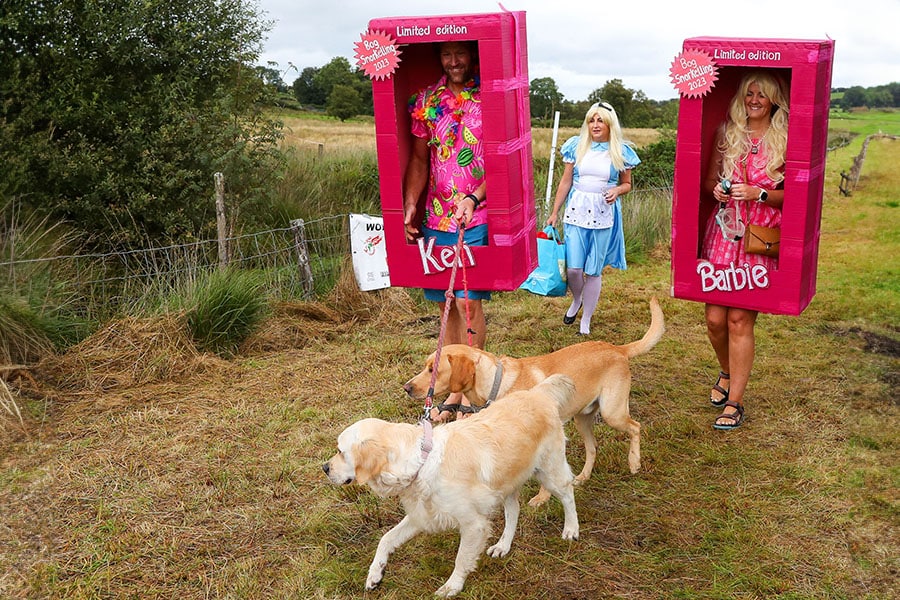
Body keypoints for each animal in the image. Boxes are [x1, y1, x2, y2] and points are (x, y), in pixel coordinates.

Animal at [324, 378, 576, 596]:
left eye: (340, 451)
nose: (325, 468)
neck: (422, 461)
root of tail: (537, 393)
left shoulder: (473, 524)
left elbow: (461, 558)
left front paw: (452, 586)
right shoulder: (421, 515)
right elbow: (386, 538)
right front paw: (375, 574)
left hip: (548, 470)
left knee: (567, 493)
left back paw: (571, 529)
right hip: (506, 482)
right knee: (514, 510)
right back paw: (503, 545)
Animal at [404, 298, 664, 504]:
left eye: (433, 370)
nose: (406, 388)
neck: (497, 383)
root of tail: (617, 349)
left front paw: (542, 498)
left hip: (613, 412)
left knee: (636, 427)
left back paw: (634, 462)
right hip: (583, 419)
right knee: (593, 448)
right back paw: (583, 477)